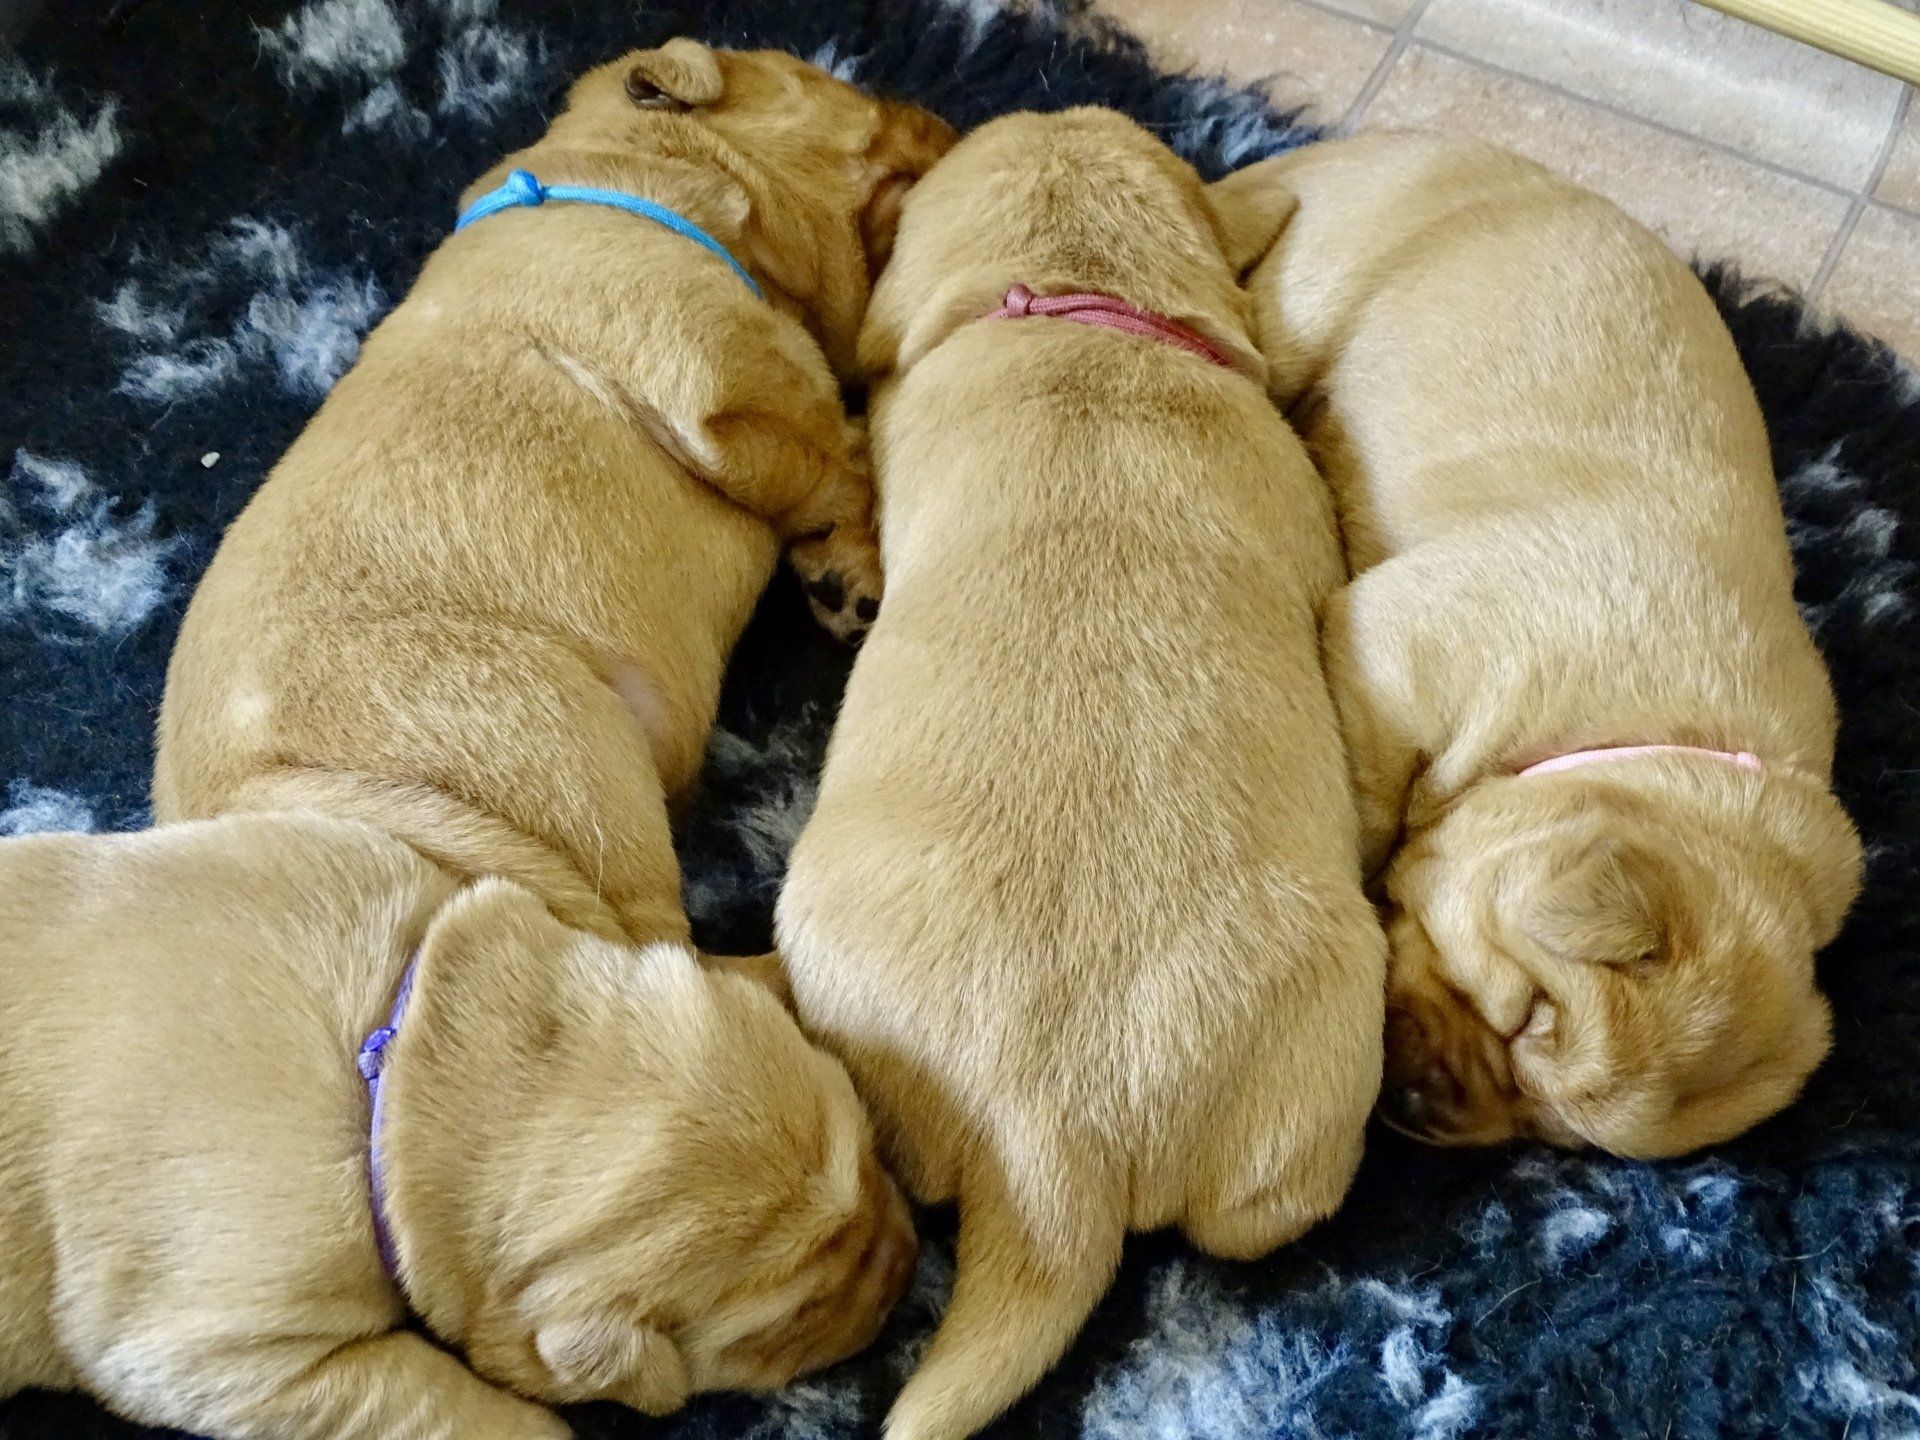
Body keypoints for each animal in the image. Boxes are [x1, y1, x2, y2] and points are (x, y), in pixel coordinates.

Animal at [0, 812, 916, 1440]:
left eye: (873, 1147)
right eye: (785, 1325)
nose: (911, 1267)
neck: (398, 1058)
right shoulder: (222, 1346)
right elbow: (426, 1396)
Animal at [153, 41, 954, 968]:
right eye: (839, 85)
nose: (950, 122)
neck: (629, 167)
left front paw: (838, 572)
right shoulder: (719, 376)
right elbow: (835, 443)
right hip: (556, 749)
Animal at [1233, 130, 1864, 1158]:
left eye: (1553, 1138)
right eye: (1531, 1010)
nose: (1417, 1106)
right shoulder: (1388, 658)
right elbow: (1367, 801)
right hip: (1316, 283)